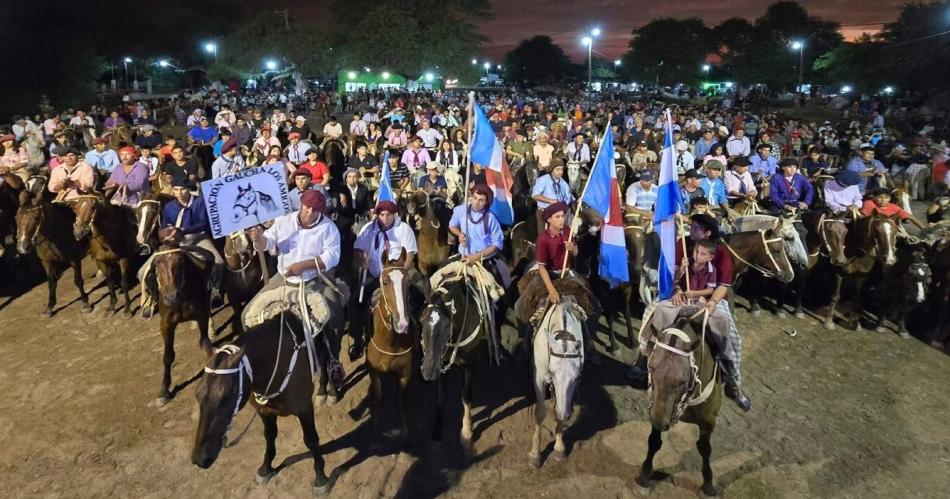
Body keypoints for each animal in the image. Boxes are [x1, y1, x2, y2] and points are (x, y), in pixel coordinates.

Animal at [152, 236, 214, 404]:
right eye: (157, 263)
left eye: (180, 260)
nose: (171, 296)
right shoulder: (166, 324)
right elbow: (168, 356)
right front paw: (164, 391)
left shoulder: (202, 316)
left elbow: (205, 345)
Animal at [192, 316, 332, 496]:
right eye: (197, 394)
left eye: (226, 396)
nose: (200, 458)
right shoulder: (265, 412)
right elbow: (269, 436)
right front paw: (266, 468)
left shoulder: (304, 408)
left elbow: (311, 440)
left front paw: (321, 478)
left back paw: (328, 392)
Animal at [528, 298, 588, 470]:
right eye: (552, 372)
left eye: (576, 377)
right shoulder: (539, 377)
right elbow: (540, 412)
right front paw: (535, 455)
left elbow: (562, 409)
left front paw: (559, 448)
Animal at [640, 314, 728, 498]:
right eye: (651, 367)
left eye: (682, 380)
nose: (659, 422)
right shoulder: (656, 408)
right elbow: (654, 441)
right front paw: (645, 475)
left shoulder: (709, 421)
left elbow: (705, 448)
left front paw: (708, 484)